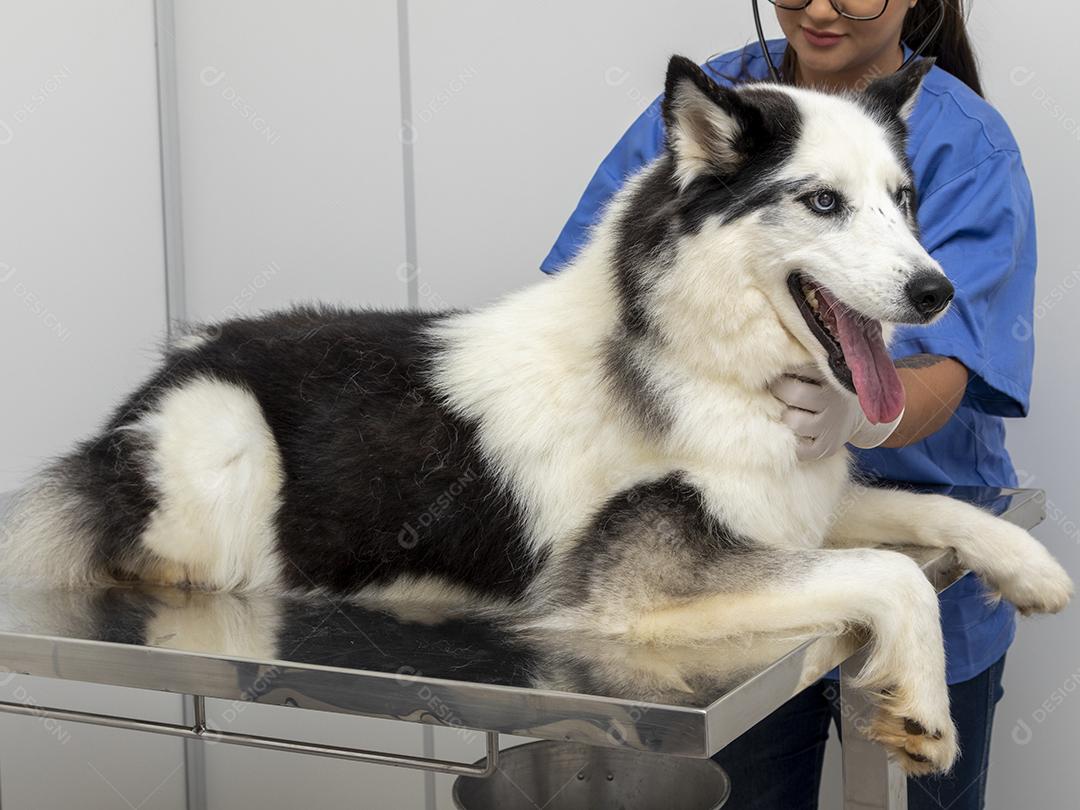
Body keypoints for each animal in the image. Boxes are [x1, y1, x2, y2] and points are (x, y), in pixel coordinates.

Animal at [2, 55, 1071, 773]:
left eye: (904, 200)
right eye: (822, 202)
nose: (937, 292)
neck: (700, 360)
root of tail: (177, 361)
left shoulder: (792, 507)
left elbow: (932, 513)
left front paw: (1031, 568)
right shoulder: (634, 592)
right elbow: (891, 574)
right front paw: (925, 706)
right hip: (222, 445)